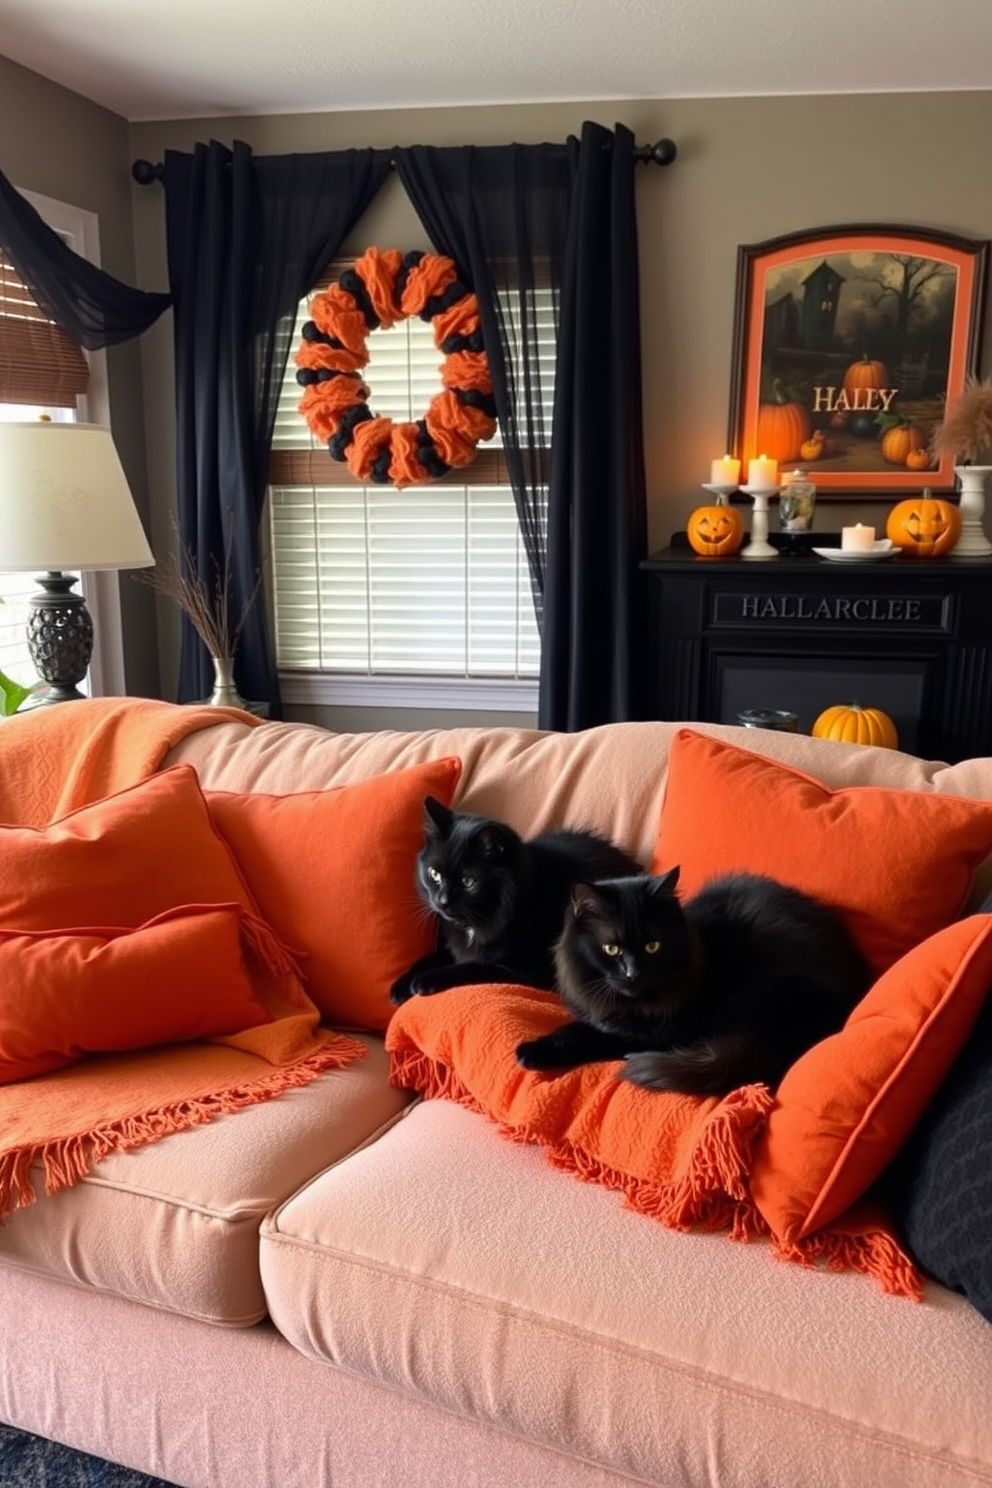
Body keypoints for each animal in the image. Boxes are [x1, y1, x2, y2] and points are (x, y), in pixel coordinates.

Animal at [386, 797, 645, 1005]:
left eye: (468, 881)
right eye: (434, 874)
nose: (442, 902)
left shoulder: (527, 967)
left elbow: (474, 966)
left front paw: (424, 981)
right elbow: (430, 958)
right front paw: (401, 985)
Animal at [517, 868, 874, 1101]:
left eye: (653, 946)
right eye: (611, 949)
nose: (633, 974)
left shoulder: (664, 1033)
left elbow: (583, 1034)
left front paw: (531, 1051)